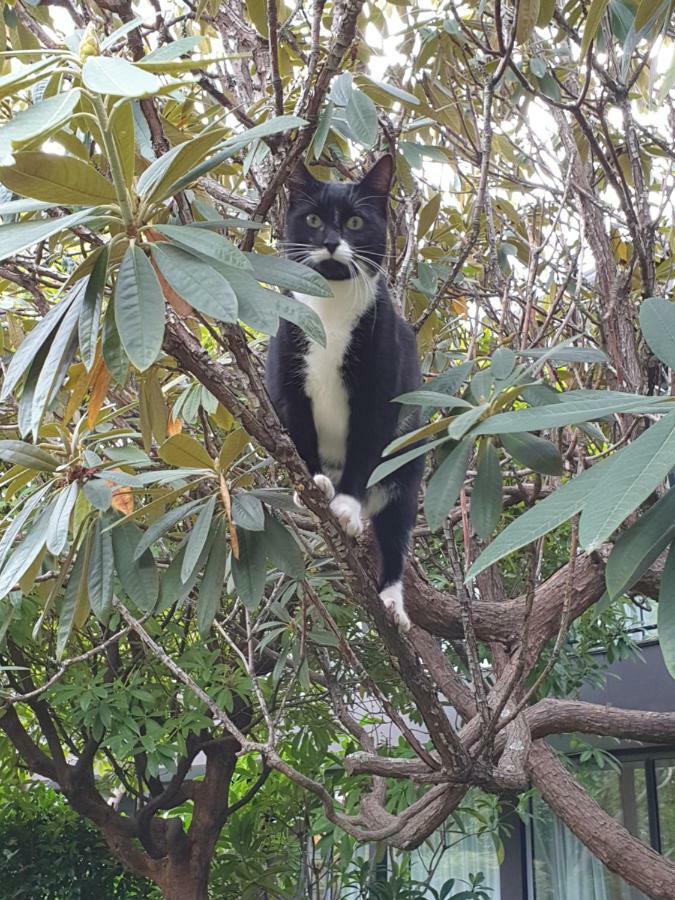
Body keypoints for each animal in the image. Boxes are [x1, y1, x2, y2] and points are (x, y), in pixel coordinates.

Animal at [264, 155, 422, 632]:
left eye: (355, 221)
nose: (332, 242)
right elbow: (296, 426)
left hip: (407, 463)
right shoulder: (287, 370)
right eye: (313, 220)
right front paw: (310, 481)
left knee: (395, 531)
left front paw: (347, 508)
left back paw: (392, 601)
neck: (330, 310)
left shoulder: (379, 382)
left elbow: (367, 441)